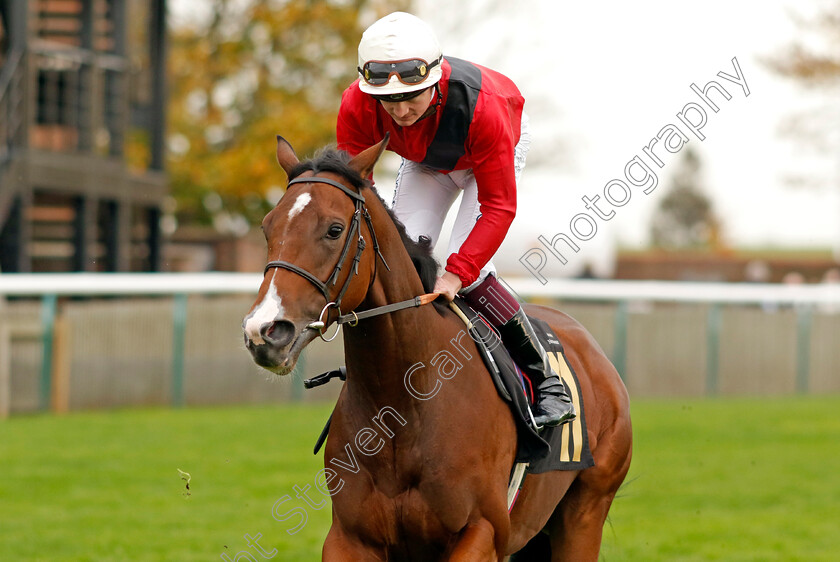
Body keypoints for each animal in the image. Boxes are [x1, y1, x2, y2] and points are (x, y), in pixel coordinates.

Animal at [243, 136, 632, 560]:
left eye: (334, 229)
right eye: (267, 227)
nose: (265, 331)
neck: (404, 406)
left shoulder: (483, 530)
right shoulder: (350, 538)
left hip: (585, 512)